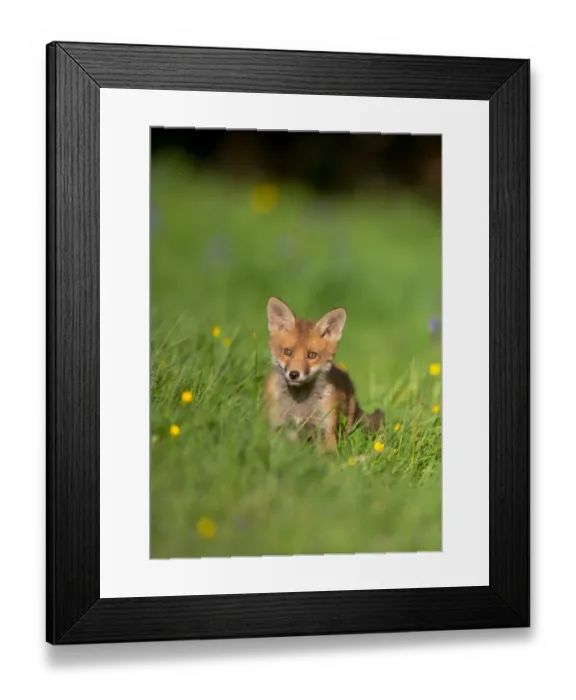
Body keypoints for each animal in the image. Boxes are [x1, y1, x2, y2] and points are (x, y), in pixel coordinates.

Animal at [263, 296, 383, 453]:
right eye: (287, 352)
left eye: (312, 355)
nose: (294, 374)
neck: (299, 405)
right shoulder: (275, 425)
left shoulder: (326, 429)